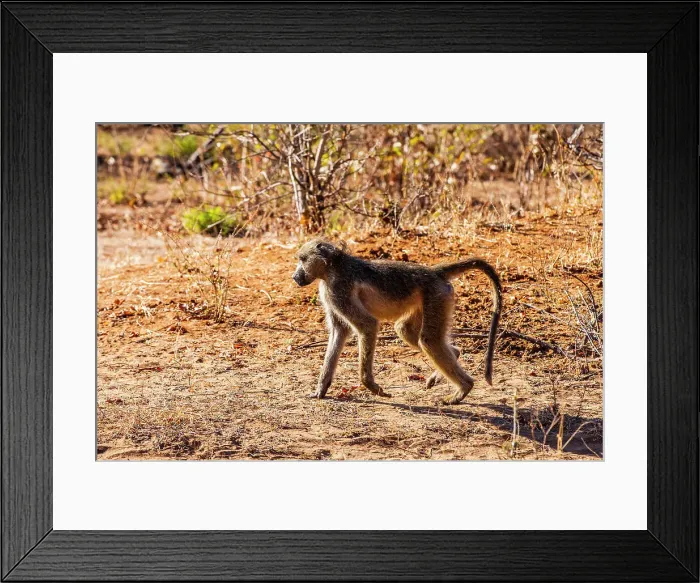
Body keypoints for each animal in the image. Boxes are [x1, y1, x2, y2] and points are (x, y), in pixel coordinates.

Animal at [292, 239, 502, 405]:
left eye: (302, 259)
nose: (295, 277)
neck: (333, 266)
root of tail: (434, 272)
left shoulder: (337, 290)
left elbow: (368, 324)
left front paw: (373, 387)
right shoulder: (329, 294)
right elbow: (339, 331)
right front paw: (321, 389)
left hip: (437, 295)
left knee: (428, 340)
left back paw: (463, 389)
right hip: (429, 300)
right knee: (406, 331)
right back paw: (451, 365)